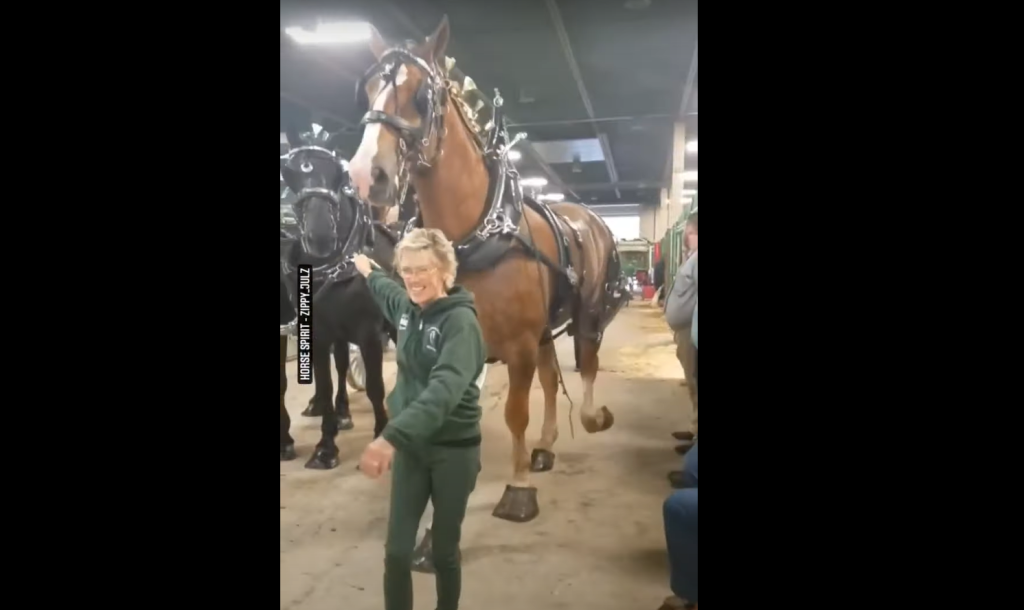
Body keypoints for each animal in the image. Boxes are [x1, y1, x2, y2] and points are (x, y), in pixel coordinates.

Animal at [278, 128, 397, 468]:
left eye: (337, 174)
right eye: (289, 173)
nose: (320, 237)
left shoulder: (369, 332)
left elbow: (375, 386)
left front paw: (381, 433)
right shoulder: (317, 332)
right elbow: (325, 380)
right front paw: (325, 447)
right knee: (341, 364)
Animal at [348, 19, 626, 524]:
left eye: (422, 95)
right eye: (370, 89)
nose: (364, 176)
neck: (474, 232)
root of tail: (584, 215)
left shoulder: (517, 344)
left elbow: (516, 412)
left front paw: (517, 488)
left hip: (585, 312)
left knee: (586, 362)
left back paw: (592, 418)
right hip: (543, 330)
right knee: (551, 380)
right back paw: (545, 445)